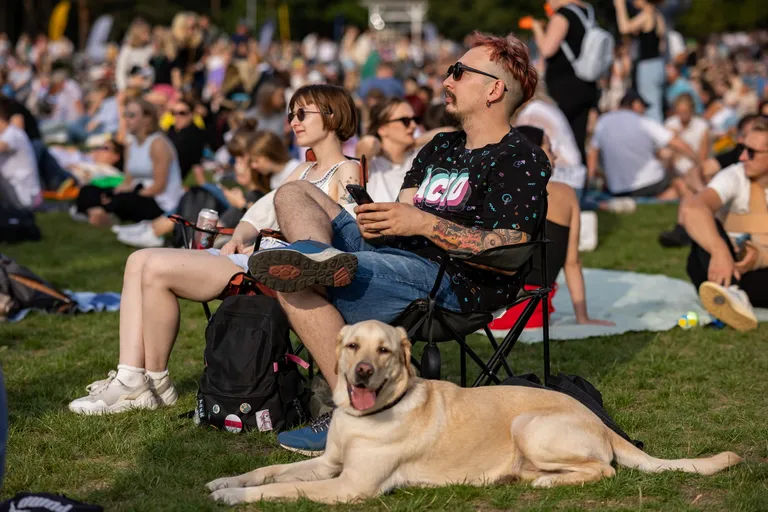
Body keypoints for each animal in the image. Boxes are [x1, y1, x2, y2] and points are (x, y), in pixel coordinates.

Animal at [206, 320, 744, 504]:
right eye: (354, 345)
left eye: (385, 351)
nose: (360, 372)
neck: (367, 418)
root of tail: (601, 420)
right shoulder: (329, 464)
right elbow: (269, 471)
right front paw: (225, 482)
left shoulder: (349, 486)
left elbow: (285, 489)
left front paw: (235, 499)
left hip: (529, 425)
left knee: (604, 470)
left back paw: (543, 483)